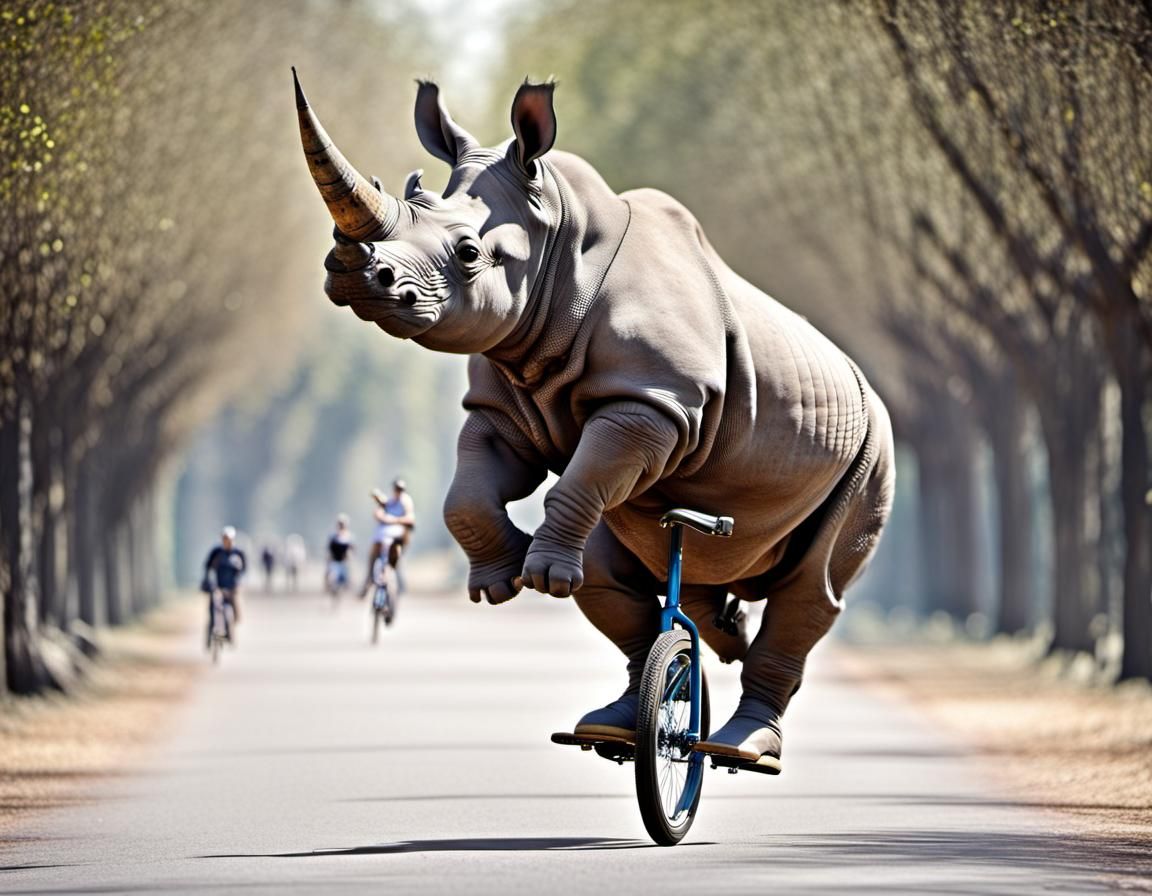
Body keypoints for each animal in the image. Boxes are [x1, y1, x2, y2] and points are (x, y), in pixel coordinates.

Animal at [294, 71, 894, 771]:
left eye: (469, 253)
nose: (361, 279)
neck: (559, 247)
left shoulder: (655, 398)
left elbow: (585, 469)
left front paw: (539, 577)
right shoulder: (502, 402)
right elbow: (466, 494)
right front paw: (502, 581)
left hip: (872, 450)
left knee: (809, 588)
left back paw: (743, 747)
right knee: (634, 571)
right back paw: (634, 707)